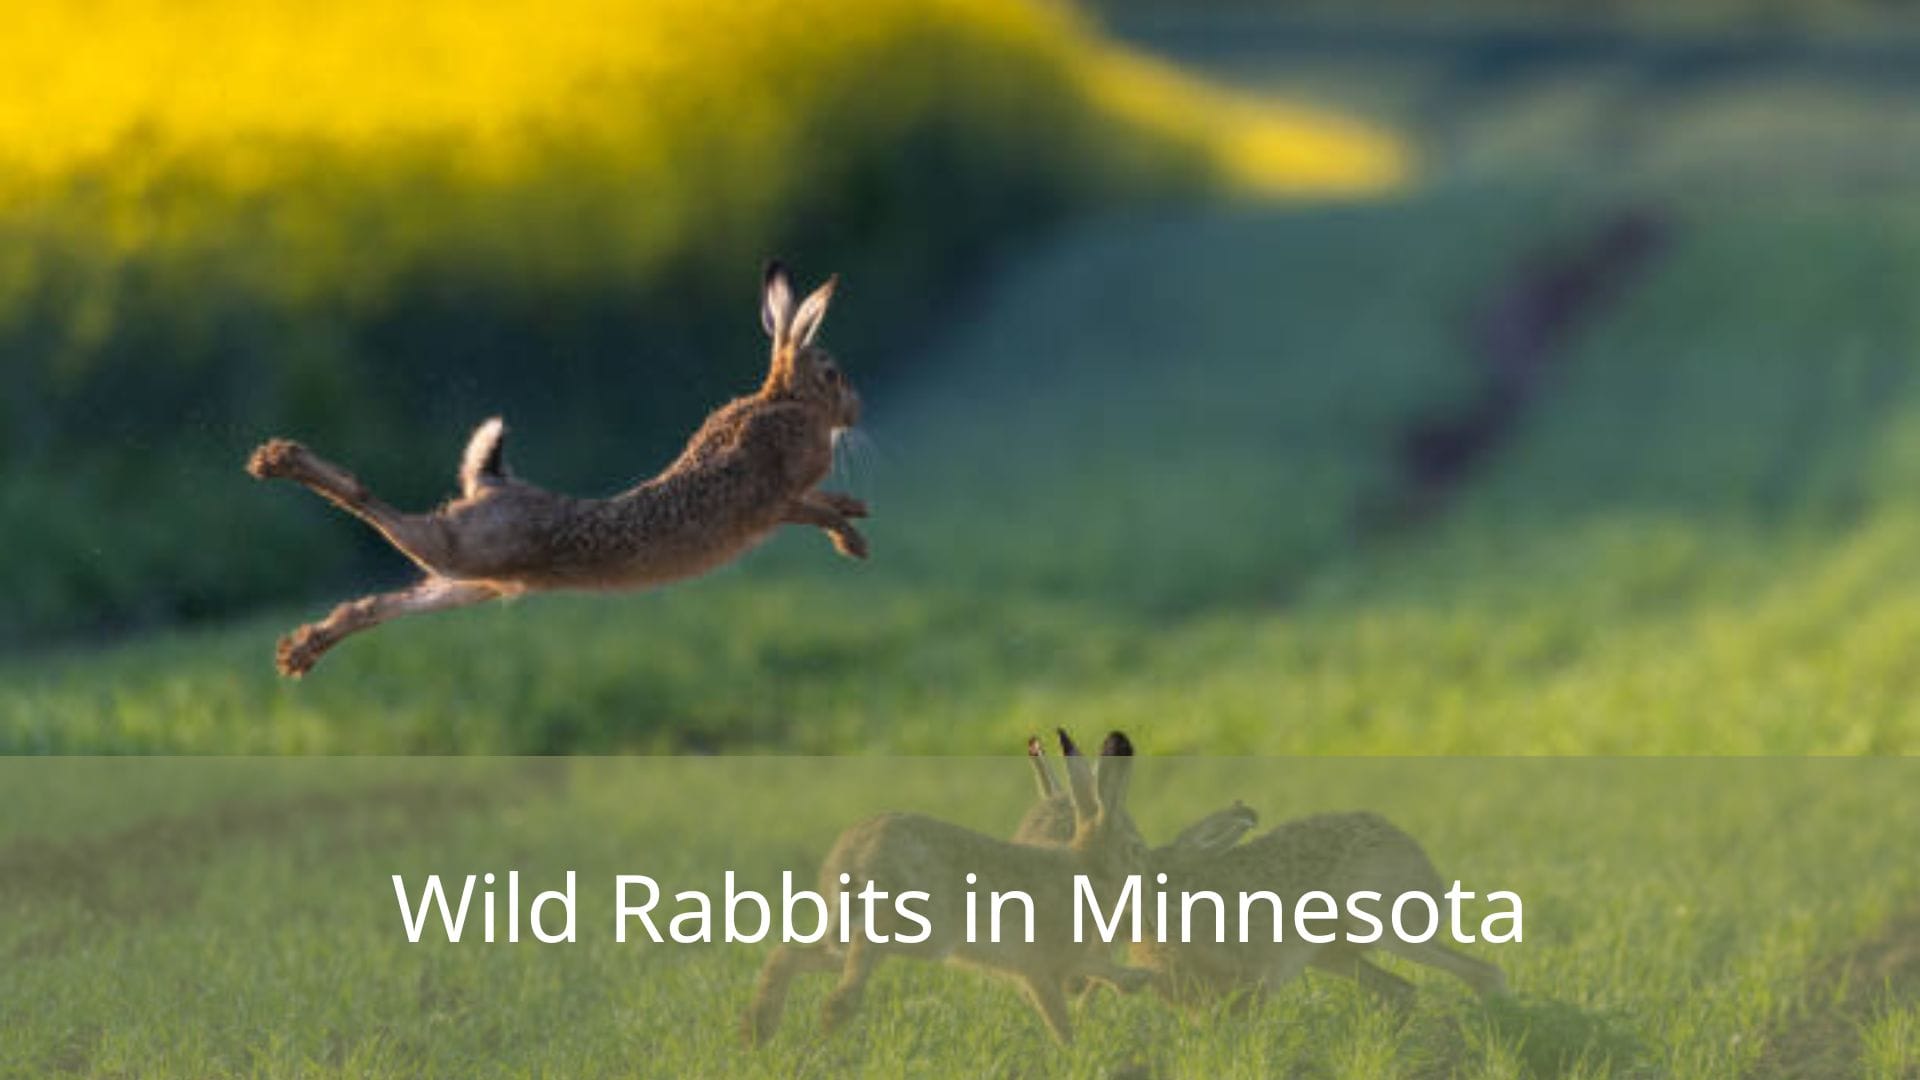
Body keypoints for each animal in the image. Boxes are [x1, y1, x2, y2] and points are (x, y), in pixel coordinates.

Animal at [245, 261, 867, 676]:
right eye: (833, 374)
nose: (856, 410)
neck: (785, 399)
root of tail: (490, 481)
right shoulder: (775, 498)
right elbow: (814, 510)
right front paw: (853, 538)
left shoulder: (780, 501)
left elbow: (822, 506)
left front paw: (856, 519)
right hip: (460, 550)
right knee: (374, 506)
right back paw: (278, 460)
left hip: (473, 581)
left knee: (379, 604)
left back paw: (302, 650)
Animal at [744, 730, 1156, 1048]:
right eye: (1136, 849)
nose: (1150, 876)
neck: (1090, 868)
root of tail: (852, 855)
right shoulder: (1040, 966)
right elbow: (1060, 1017)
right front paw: (1073, 1053)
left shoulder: (1058, 961)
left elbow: (1094, 969)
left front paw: (1136, 981)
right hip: (912, 929)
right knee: (850, 971)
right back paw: (822, 1028)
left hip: (854, 932)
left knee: (790, 954)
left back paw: (758, 1031)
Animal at [1013, 742, 1504, 1010]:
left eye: (1132, 853)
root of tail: (1421, 861)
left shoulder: (1251, 982)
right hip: (1332, 956)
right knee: (1402, 989)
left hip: (1387, 927)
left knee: (1479, 972)